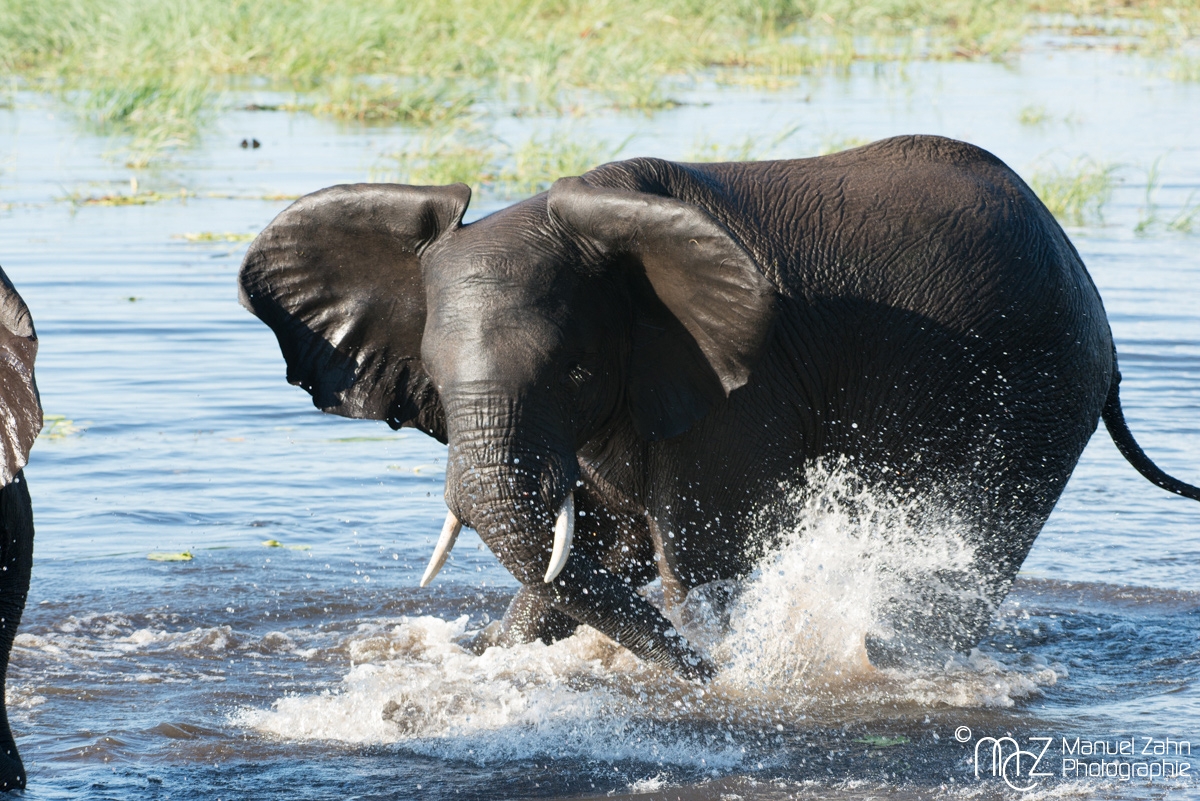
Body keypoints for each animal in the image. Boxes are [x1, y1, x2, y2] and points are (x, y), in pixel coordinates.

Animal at [239, 135, 1199, 680]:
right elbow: (584, 556)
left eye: (575, 372)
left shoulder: (744, 386)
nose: (708, 681)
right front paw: (490, 661)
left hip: (1038, 390)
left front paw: (735, 670)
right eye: (433, 382)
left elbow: (694, 559)